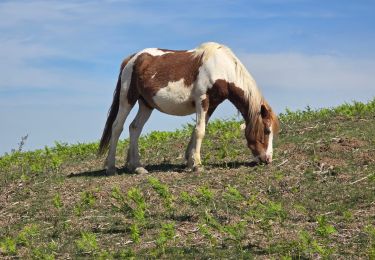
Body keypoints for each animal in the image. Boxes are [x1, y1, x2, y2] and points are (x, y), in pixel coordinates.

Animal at [98, 41, 280, 175]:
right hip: (127, 99)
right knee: (117, 127)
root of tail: (132, 59)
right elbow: (200, 131)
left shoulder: (211, 105)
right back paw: (111, 167)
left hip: (146, 104)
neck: (220, 68)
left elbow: (197, 130)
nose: (268, 159)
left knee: (135, 128)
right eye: (266, 131)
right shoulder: (202, 100)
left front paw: (189, 162)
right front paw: (197, 165)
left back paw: (137, 167)